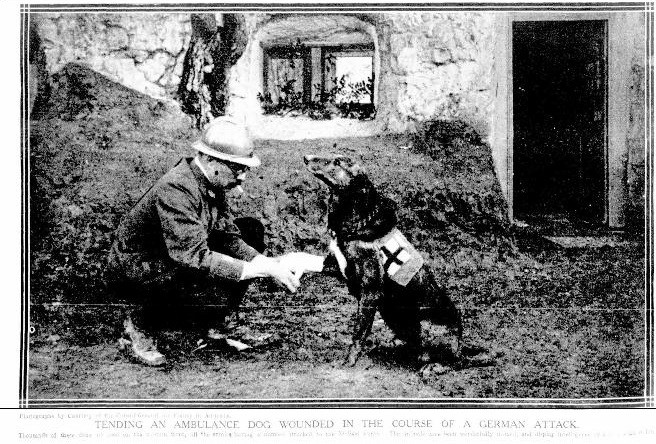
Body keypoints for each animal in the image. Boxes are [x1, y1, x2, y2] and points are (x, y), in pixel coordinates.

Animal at [304, 154, 494, 372]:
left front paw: (349, 362)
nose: (306, 158)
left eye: (337, 162)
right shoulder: (340, 266)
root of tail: (460, 346)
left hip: (427, 325)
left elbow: (358, 333)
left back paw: (433, 367)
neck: (358, 218)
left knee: (451, 361)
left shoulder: (370, 291)